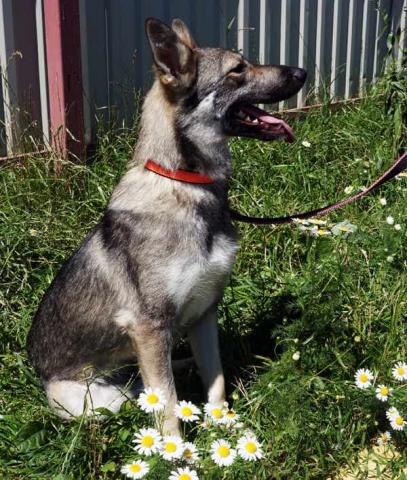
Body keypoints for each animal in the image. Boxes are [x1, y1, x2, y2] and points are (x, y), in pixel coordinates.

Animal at [27, 17, 306, 434]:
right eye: (237, 69)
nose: (302, 72)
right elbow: (169, 405)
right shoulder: (151, 327)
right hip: (107, 399)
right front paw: (176, 449)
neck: (188, 185)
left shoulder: (204, 314)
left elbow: (216, 381)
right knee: (147, 391)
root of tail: (39, 377)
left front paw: (223, 427)